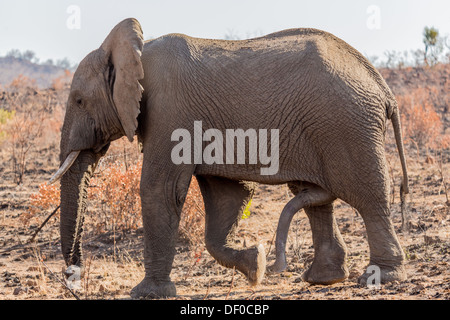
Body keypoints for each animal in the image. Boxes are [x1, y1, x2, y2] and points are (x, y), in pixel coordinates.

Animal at [51, 16, 410, 298]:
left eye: (79, 101)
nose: (74, 279)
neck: (133, 50)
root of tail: (381, 86)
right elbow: (227, 195)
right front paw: (256, 265)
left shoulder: (169, 111)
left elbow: (161, 189)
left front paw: (147, 294)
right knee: (313, 197)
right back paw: (323, 279)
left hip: (345, 124)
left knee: (368, 196)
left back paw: (380, 277)